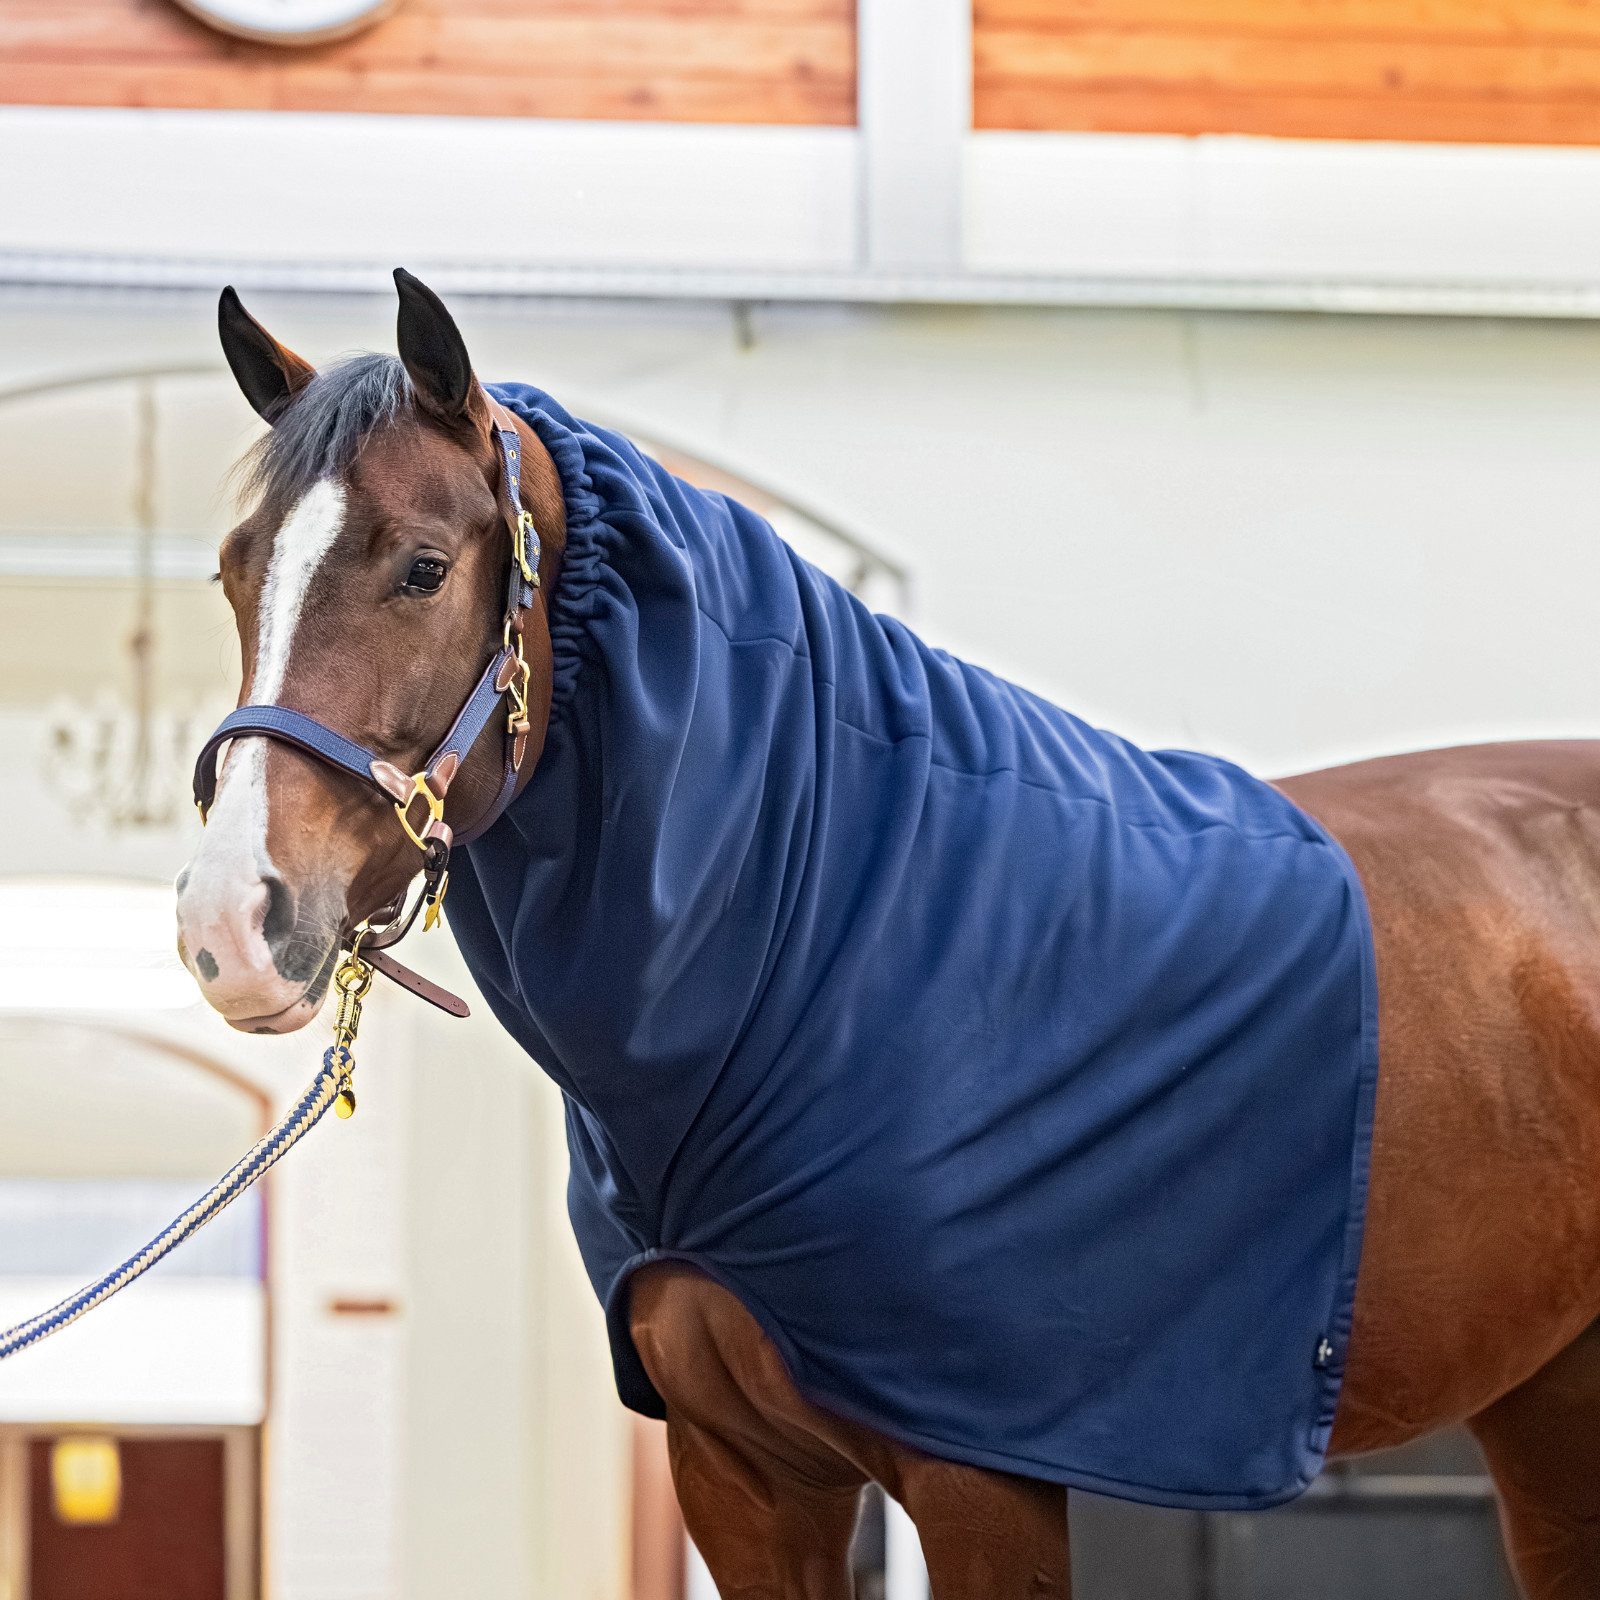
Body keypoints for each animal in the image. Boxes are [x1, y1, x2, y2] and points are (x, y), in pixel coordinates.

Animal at [175, 271, 1600, 1599]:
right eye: (235, 573)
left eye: (420, 566)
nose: (228, 921)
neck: (830, 927)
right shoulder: (741, 1476)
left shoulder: (981, 1481)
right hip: (1549, 1402)